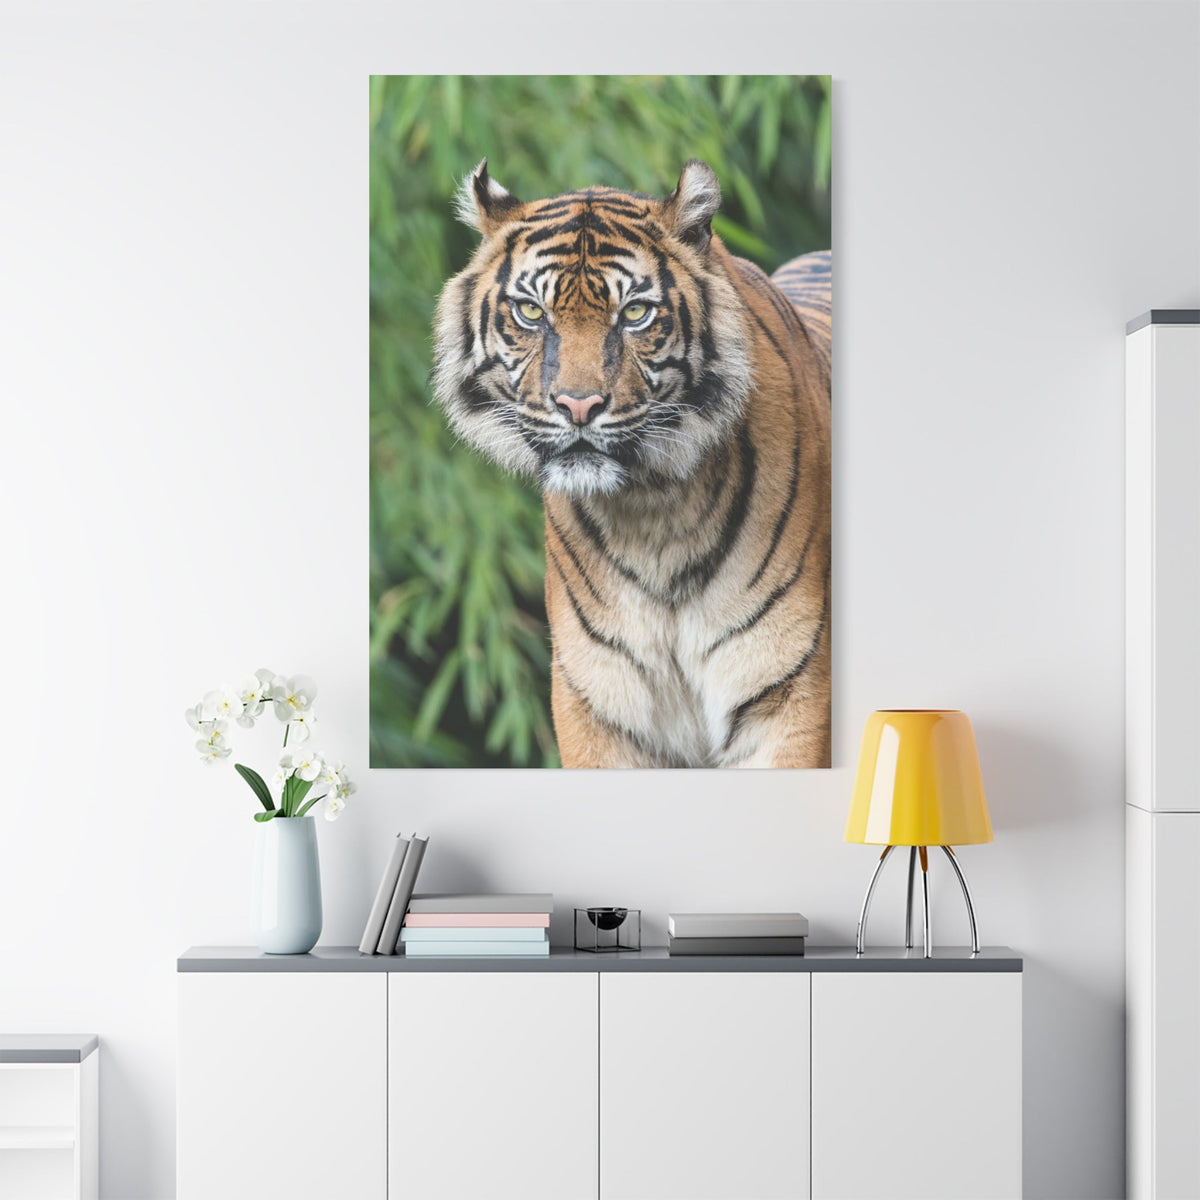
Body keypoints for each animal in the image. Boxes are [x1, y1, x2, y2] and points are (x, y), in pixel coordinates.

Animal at [433, 158, 831, 768]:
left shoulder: (789, 696)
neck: (655, 511)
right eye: (531, 311)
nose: (577, 406)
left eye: (636, 313)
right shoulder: (598, 707)